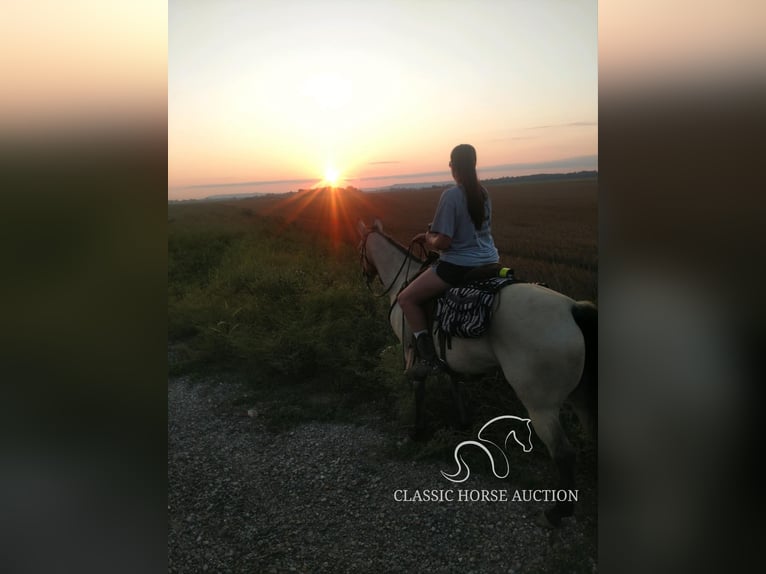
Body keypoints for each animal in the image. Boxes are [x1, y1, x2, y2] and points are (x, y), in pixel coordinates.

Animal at [360, 218, 600, 528]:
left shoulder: (412, 350)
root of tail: (573, 309)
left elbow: (419, 389)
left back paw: (557, 512)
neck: (405, 280)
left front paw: (416, 431)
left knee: (564, 454)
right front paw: (463, 424)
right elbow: (454, 382)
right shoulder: (445, 356)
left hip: (541, 404)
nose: (365, 275)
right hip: (580, 397)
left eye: (360, 248)